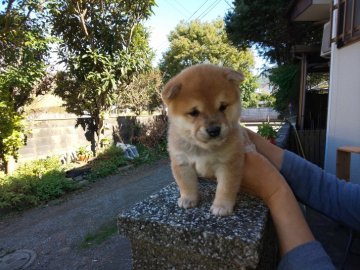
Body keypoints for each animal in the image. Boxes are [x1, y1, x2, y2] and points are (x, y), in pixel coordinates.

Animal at [162, 63, 249, 217]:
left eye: (223, 106)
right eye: (194, 112)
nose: (214, 130)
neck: (203, 148)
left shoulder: (229, 163)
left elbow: (225, 188)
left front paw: (222, 206)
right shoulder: (182, 162)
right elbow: (186, 184)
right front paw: (188, 199)